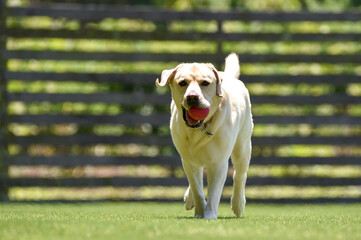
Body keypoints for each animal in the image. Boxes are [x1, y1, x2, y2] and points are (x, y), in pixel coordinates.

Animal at [155, 53, 253, 218]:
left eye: (205, 83)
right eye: (182, 83)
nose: (192, 97)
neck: (200, 128)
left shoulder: (218, 163)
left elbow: (214, 192)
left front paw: (209, 215)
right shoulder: (188, 160)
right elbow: (197, 190)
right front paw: (199, 212)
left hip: (243, 145)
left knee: (240, 175)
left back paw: (238, 204)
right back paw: (189, 198)